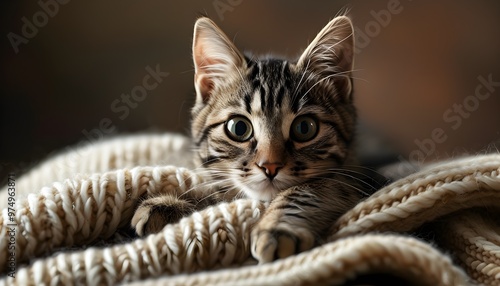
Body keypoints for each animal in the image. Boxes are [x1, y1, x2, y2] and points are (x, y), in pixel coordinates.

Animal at [131, 15, 366, 262]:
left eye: (304, 128)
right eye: (239, 128)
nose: (270, 166)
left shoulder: (351, 179)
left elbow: (307, 190)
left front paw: (277, 227)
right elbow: (222, 194)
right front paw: (170, 205)